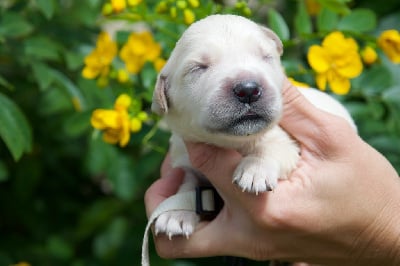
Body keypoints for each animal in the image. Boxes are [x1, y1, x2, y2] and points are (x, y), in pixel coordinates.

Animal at [152, 14, 354, 239]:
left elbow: (272, 148)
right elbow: (188, 184)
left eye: (266, 56)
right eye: (198, 68)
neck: (234, 142)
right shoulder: (185, 157)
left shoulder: (286, 142)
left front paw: (255, 170)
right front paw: (176, 213)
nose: (248, 89)